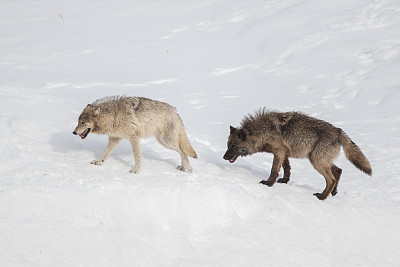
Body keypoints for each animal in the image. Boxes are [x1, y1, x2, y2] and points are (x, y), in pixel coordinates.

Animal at [223, 109, 374, 201]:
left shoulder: (279, 152)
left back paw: (321, 197)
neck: (262, 132)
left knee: (331, 179)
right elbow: (286, 169)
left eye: (234, 146)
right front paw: (284, 181)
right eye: (228, 145)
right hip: (319, 160)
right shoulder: (284, 153)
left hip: (316, 161)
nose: (224, 157)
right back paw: (333, 192)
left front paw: (268, 183)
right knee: (338, 171)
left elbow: (274, 170)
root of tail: (338, 131)